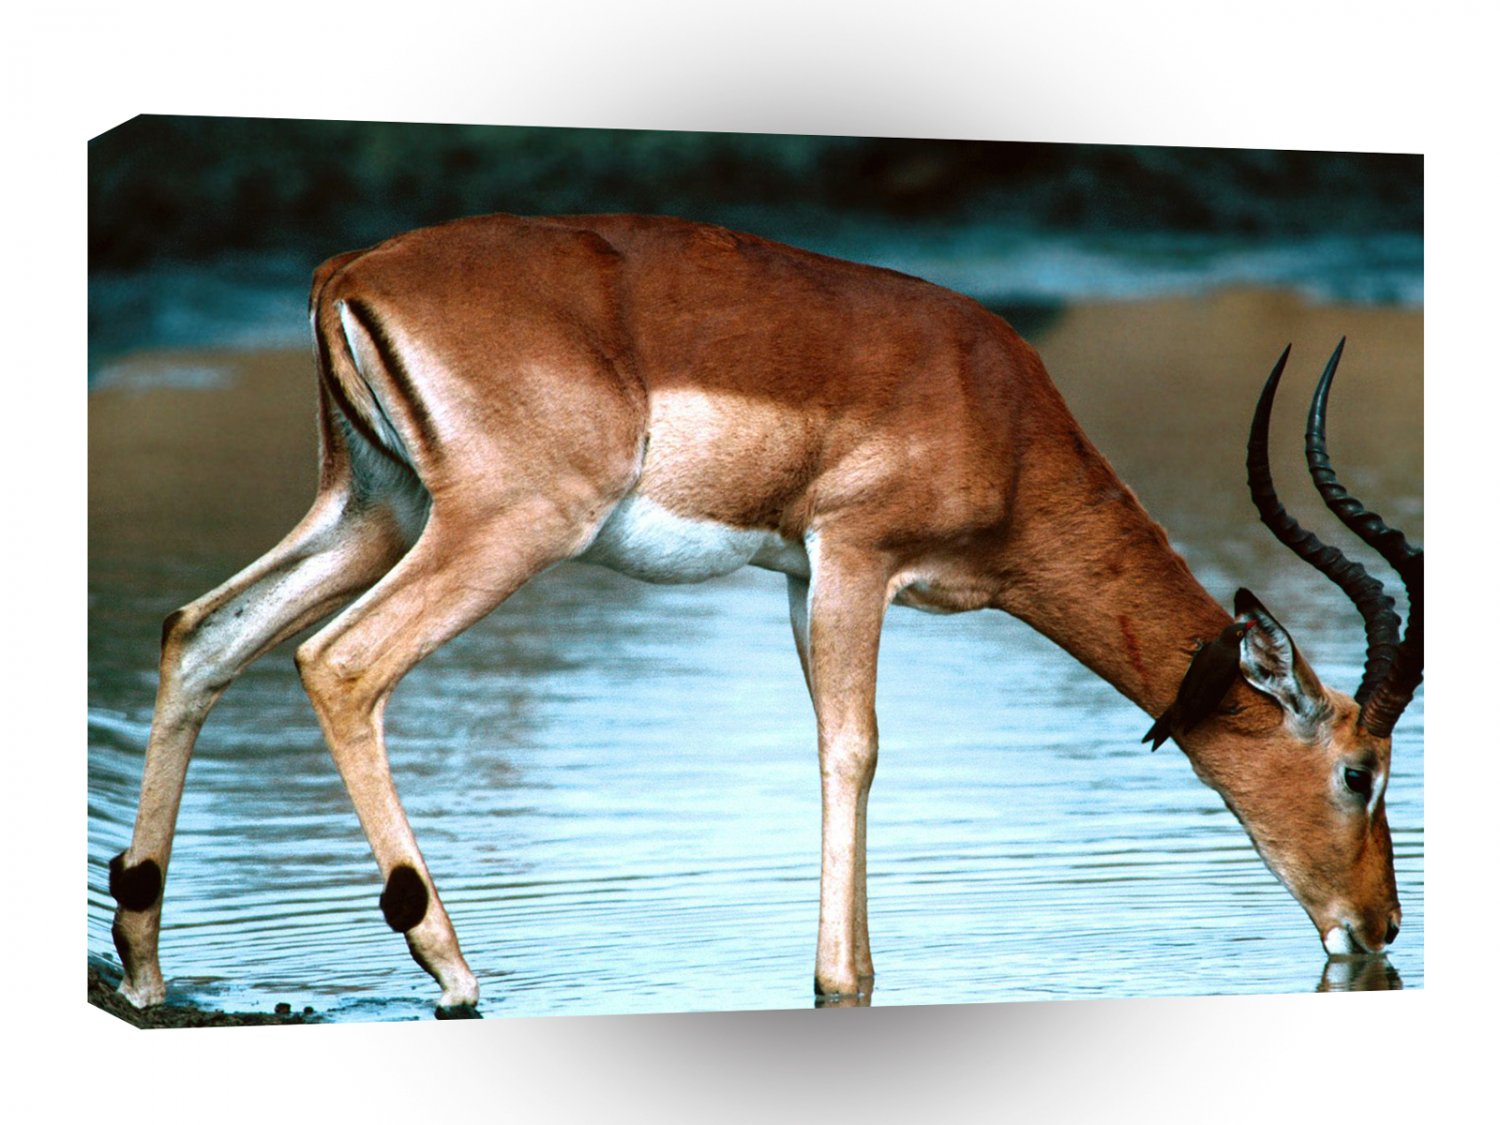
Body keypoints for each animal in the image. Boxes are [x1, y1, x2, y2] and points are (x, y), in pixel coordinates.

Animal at [106, 213, 1422, 1018]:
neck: (1000, 415)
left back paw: (149, 971)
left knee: (199, 632)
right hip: (503, 528)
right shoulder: (853, 560)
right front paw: (844, 982)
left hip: (373, 509)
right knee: (340, 662)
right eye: (1360, 771)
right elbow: (856, 751)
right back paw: (453, 969)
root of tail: (349, 273)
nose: (1381, 928)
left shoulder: (795, 576)